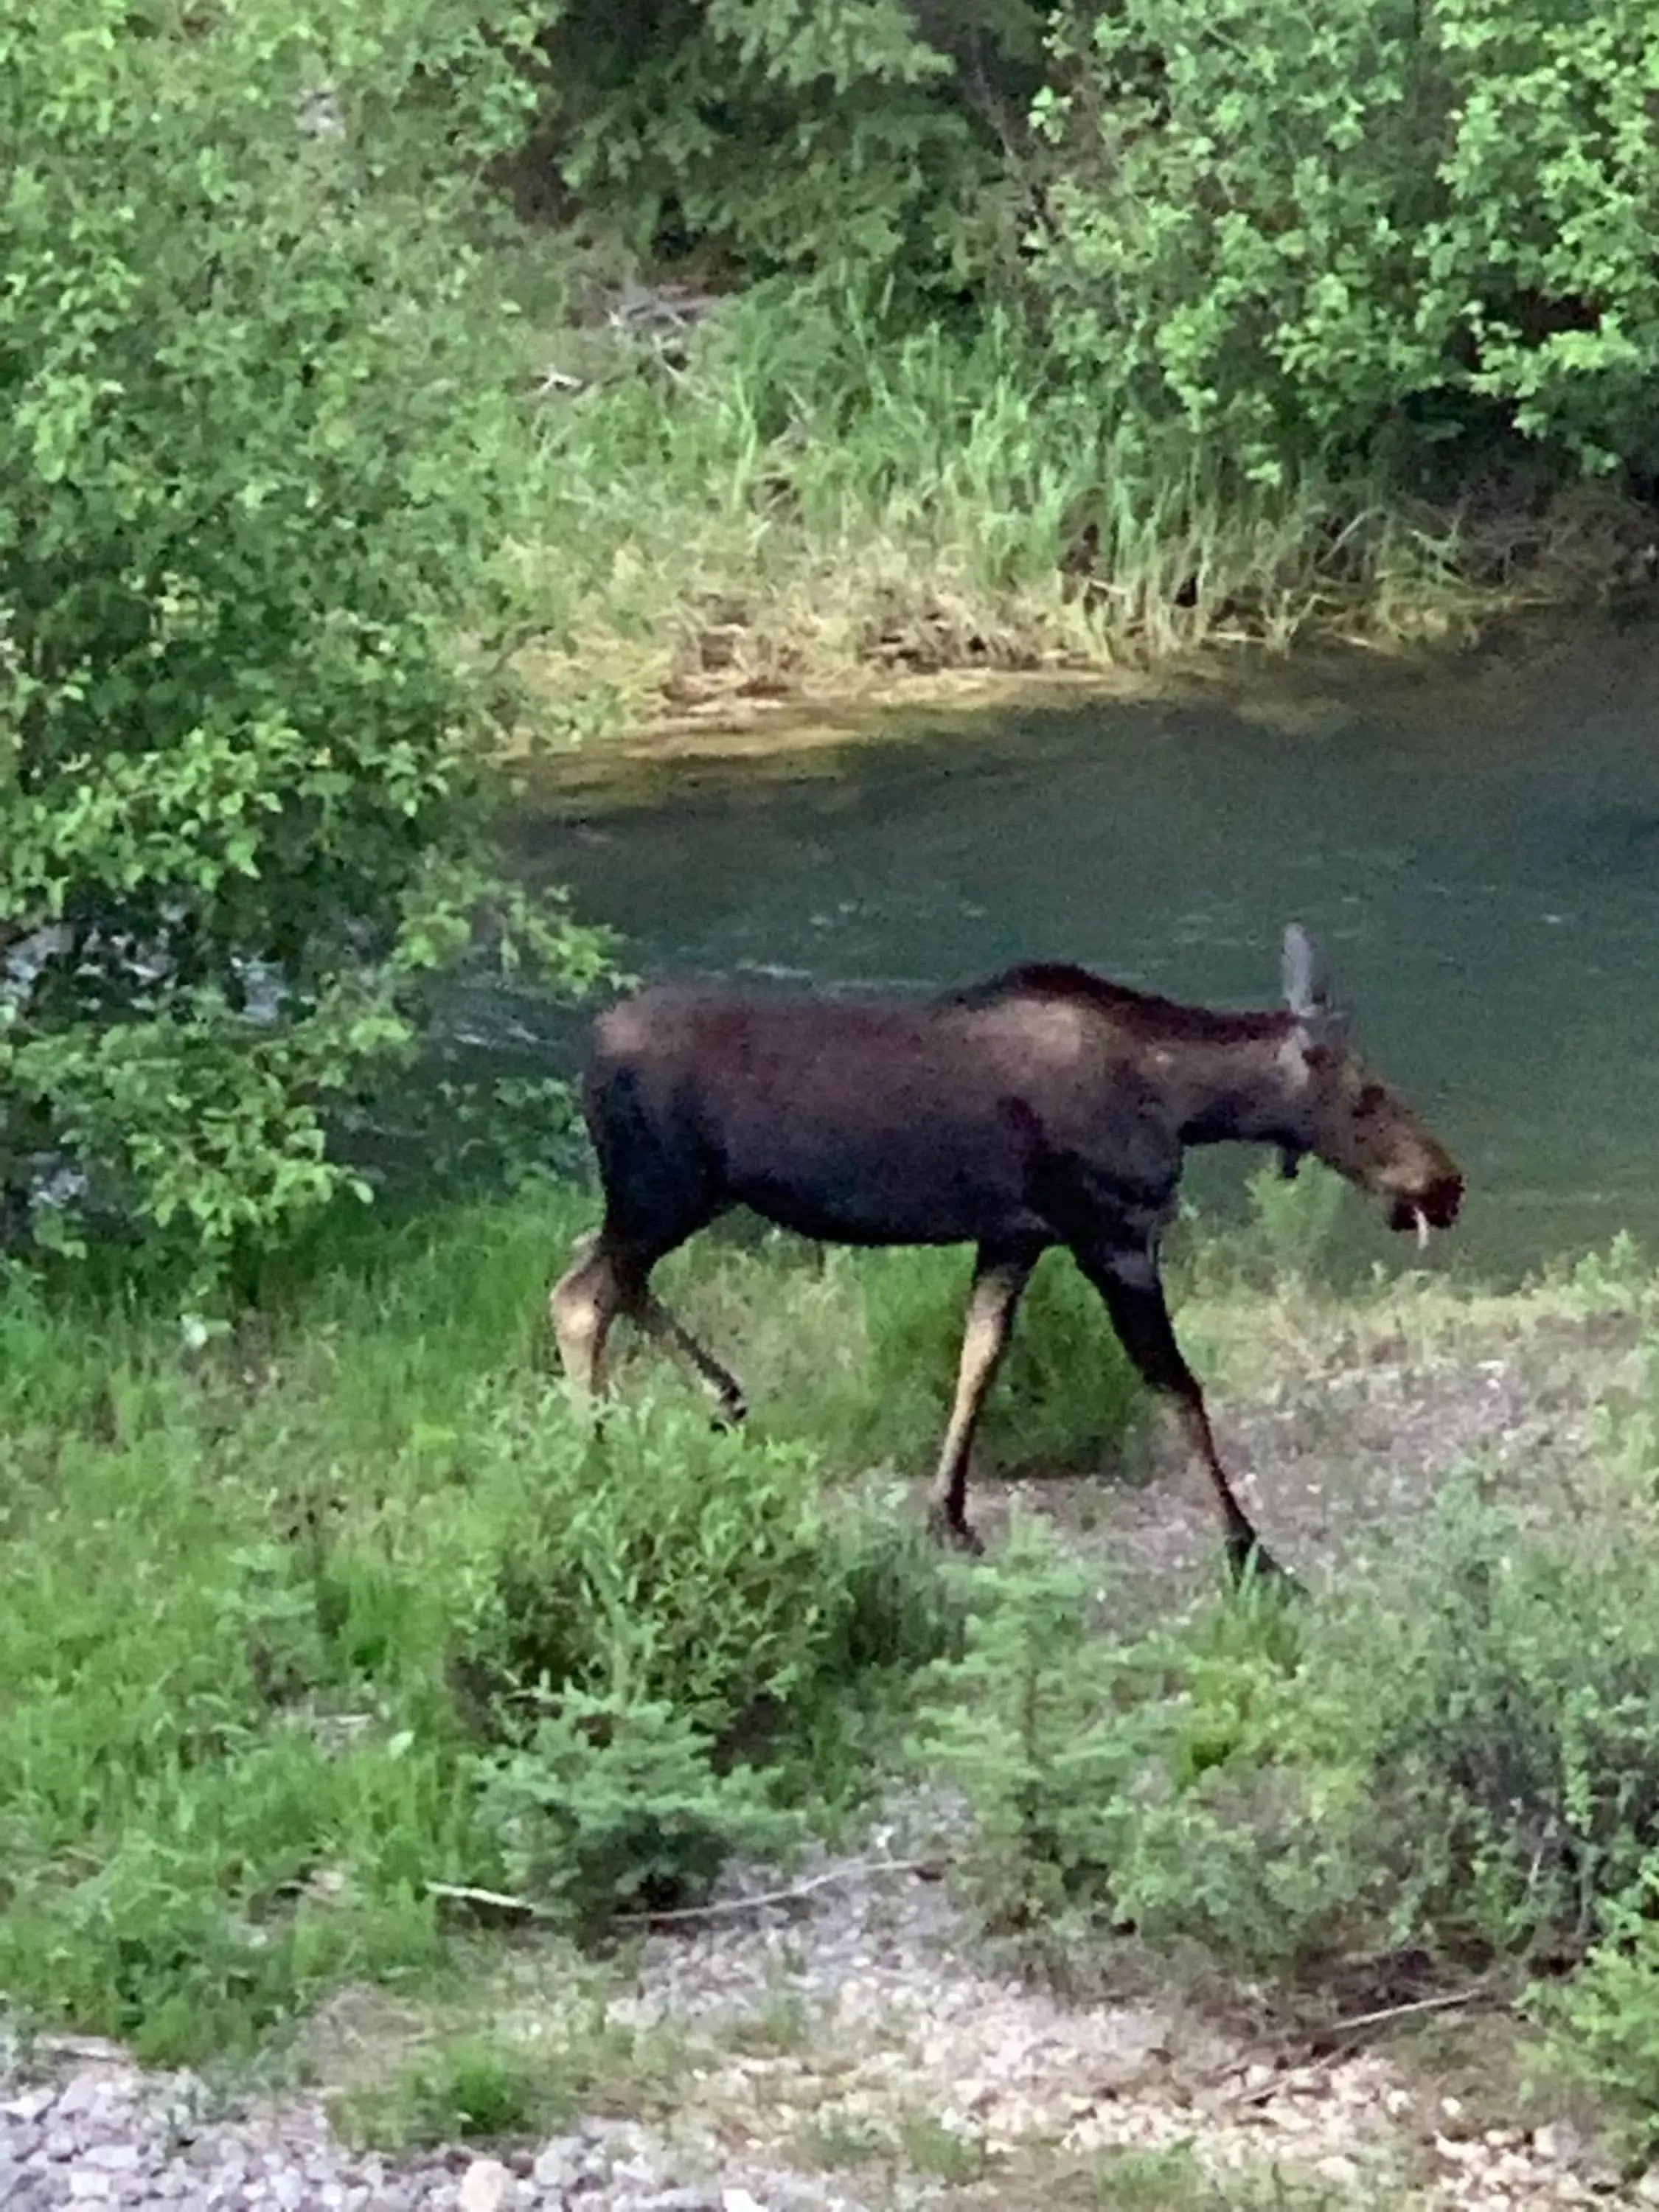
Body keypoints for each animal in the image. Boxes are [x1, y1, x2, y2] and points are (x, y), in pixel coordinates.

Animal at [553, 925, 1460, 1584]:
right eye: (1366, 1097)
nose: (1447, 1185)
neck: (1180, 1104)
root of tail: (586, 1054)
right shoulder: (1112, 1237)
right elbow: (1179, 1388)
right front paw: (1251, 1550)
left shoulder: (1015, 1236)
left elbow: (978, 1358)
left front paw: (948, 1516)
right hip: (660, 1190)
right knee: (581, 1294)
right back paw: (598, 1458)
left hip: (682, 1198)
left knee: (613, 1282)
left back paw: (720, 1394)